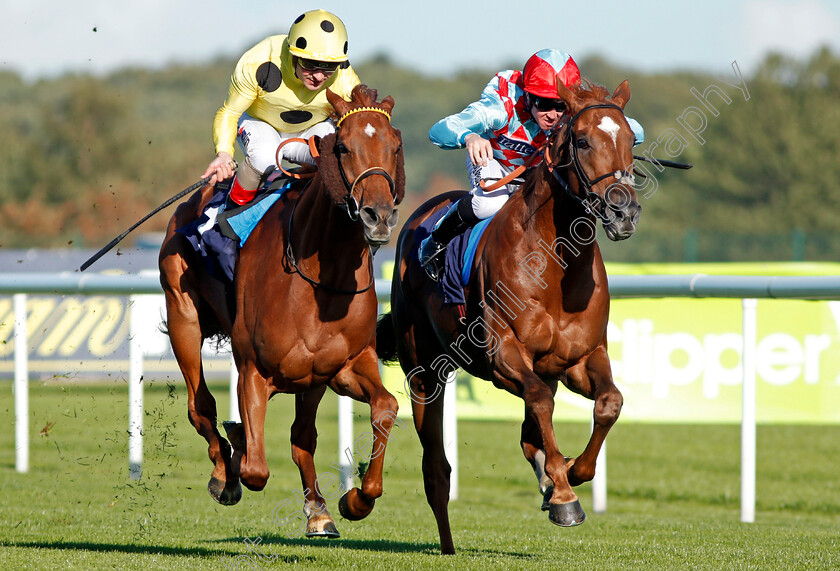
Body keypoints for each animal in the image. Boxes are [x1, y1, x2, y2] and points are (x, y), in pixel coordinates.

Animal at [160, 84, 406, 536]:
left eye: (394, 146)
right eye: (342, 147)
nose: (378, 217)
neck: (321, 278)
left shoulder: (342, 367)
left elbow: (384, 408)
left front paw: (354, 499)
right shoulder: (254, 370)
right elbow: (256, 469)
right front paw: (236, 458)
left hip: (311, 381)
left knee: (301, 436)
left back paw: (319, 510)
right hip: (183, 315)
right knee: (200, 407)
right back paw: (224, 473)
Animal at [378, 80, 640, 556]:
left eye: (631, 139)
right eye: (582, 141)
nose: (623, 212)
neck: (556, 264)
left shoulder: (580, 358)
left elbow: (609, 402)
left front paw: (568, 476)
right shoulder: (503, 357)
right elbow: (539, 402)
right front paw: (564, 491)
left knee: (527, 433)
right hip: (423, 371)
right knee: (436, 468)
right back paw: (446, 543)